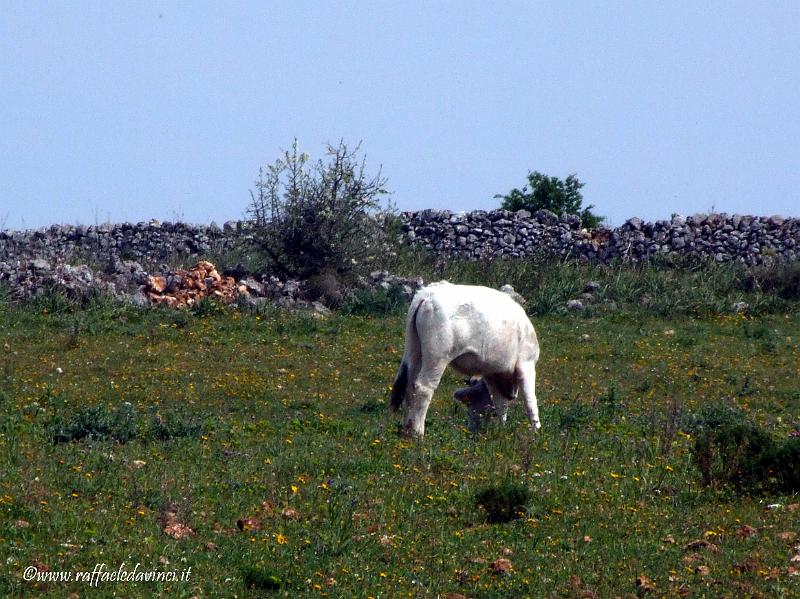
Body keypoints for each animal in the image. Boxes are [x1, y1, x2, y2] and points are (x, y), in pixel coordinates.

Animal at [390, 282, 540, 436]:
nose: (472, 429)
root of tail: (427, 293)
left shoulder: (493, 374)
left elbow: (501, 406)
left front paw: (501, 430)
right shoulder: (527, 363)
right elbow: (530, 402)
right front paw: (536, 432)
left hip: (415, 352)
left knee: (409, 386)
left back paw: (407, 430)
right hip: (437, 357)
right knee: (424, 388)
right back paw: (418, 433)